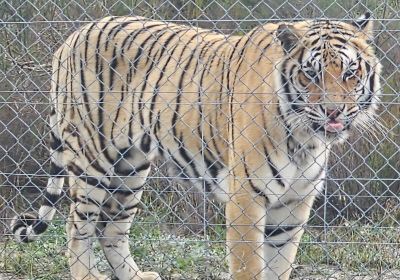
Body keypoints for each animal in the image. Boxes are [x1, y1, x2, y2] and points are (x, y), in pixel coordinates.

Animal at [11, 12, 382, 280]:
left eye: (350, 72)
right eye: (311, 74)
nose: (333, 111)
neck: (304, 138)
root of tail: (72, 36)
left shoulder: (294, 203)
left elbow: (280, 265)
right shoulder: (246, 197)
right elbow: (249, 266)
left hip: (130, 169)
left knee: (111, 228)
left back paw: (136, 276)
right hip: (94, 161)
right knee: (78, 225)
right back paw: (87, 275)